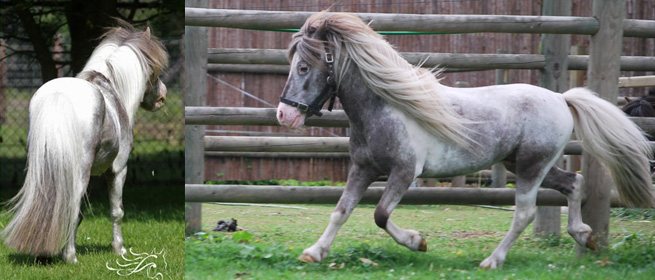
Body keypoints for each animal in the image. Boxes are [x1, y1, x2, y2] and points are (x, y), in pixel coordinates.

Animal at [1, 21, 169, 262]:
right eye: (154, 71)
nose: (162, 97)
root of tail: (58, 96)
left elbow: (80, 216)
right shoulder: (118, 170)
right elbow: (116, 211)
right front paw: (119, 248)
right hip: (79, 173)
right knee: (71, 207)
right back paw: (71, 257)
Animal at [276, 13, 655, 270]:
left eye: (304, 67)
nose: (284, 114)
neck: (385, 107)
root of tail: (562, 99)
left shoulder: (405, 172)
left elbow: (381, 215)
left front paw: (417, 242)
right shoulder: (363, 169)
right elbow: (340, 211)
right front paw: (313, 253)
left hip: (532, 166)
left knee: (525, 212)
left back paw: (492, 261)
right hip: (529, 163)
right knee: (574, 183)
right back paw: (583, 235)